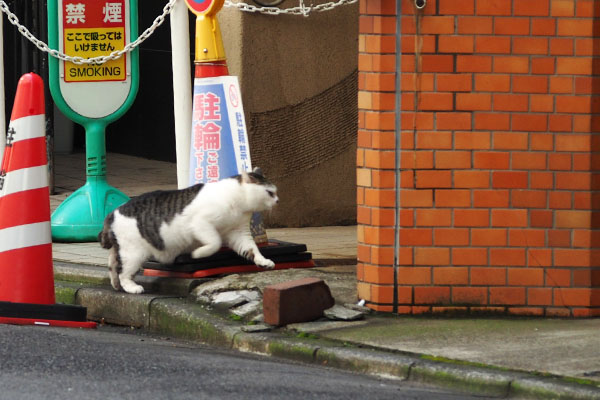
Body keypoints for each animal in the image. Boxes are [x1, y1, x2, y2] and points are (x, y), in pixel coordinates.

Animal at [98, 169, 278, 294]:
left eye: (275, 192)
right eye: (270, 193)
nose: (277, 201)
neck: (238, 203)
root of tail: (113, 213)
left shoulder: (239, 233)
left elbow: (252, 249)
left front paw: (263, 261)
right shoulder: (200, 223)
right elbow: (215, 242)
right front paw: (198, 254)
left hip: (123, 250)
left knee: (112, 263)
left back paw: (116, 284)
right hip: (134, 253)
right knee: (123, 272)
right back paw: (131, 287)